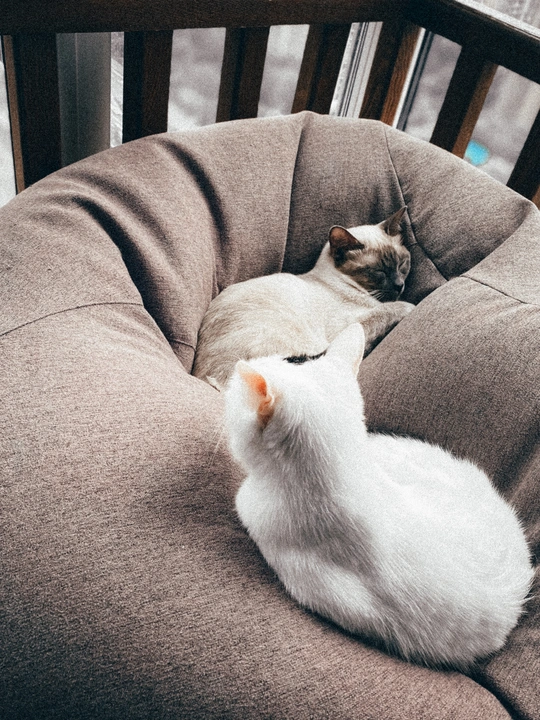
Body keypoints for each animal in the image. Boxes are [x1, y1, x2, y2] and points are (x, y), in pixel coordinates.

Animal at [193, 207, 414, 387]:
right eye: (379, 272)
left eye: (402, 263)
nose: (399, 285)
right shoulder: (352, 325)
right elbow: (391, 309)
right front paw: (411, 306)